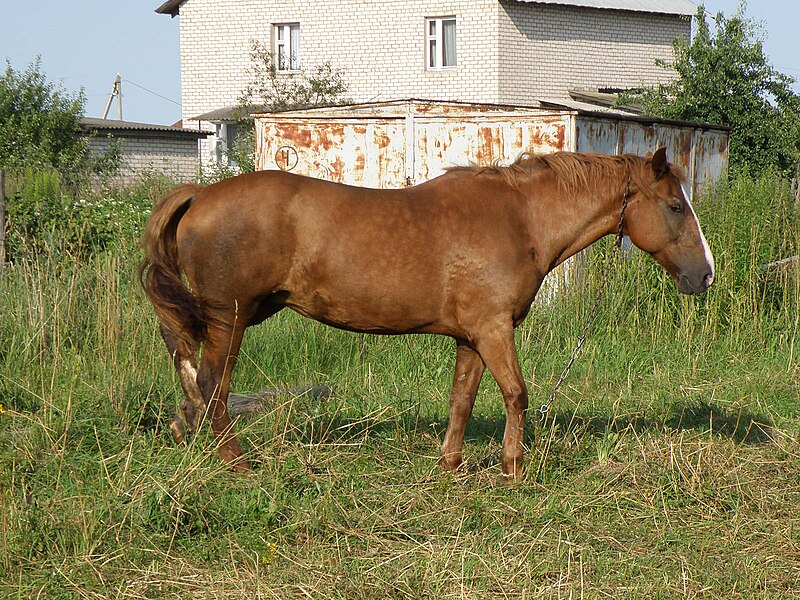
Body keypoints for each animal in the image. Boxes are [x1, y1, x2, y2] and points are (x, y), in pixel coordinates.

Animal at [138, 148, 712, 480]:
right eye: (675, 206)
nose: (704, 275)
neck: (521, 219)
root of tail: (200, 194)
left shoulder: (472, 336)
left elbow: (462, 399)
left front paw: (451, 465)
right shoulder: (493, 330)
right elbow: (516, 394)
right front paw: (513, 467)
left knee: (189, 372)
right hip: (230, 318)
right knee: (211, 383)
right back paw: (237, 462)